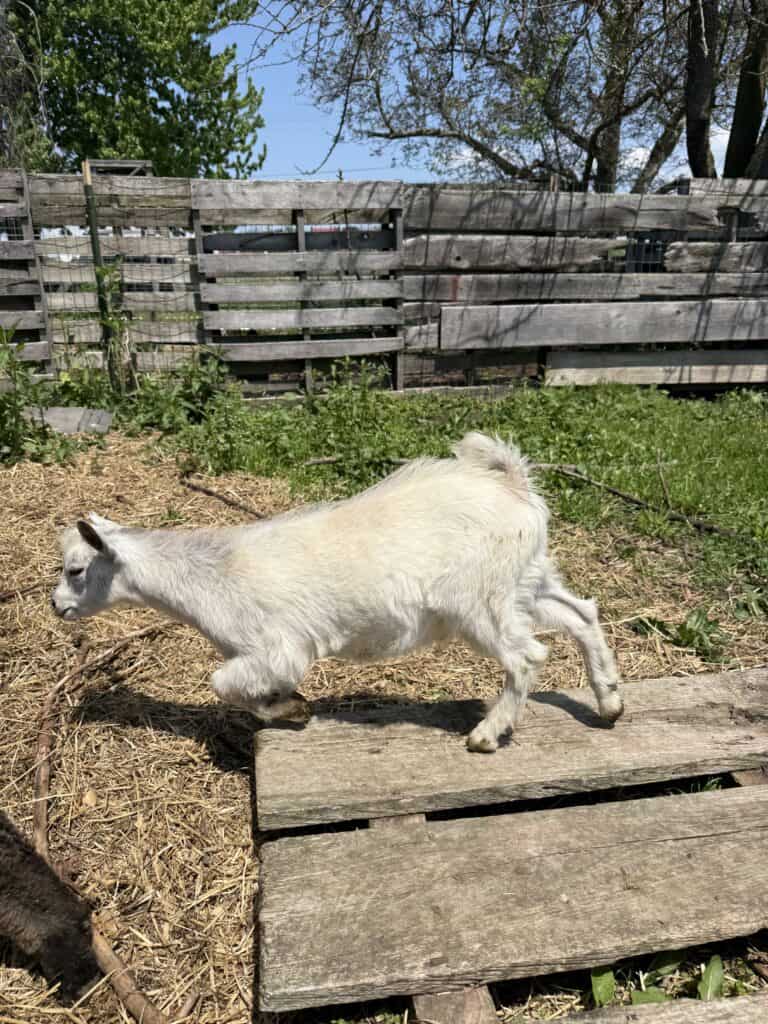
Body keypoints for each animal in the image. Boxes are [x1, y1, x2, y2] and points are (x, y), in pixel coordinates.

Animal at [52, 433, 623, 752]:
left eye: (76, 569)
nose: (57, 606)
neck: (210, 576)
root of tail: (514, 485)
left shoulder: (274, 647)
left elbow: (224, 684)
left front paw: (291, 708)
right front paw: (286, 702)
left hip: (479, 600)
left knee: (527, 656)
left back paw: (487, 735)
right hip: (525, 581)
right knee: (581, 613)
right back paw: (610, 703)